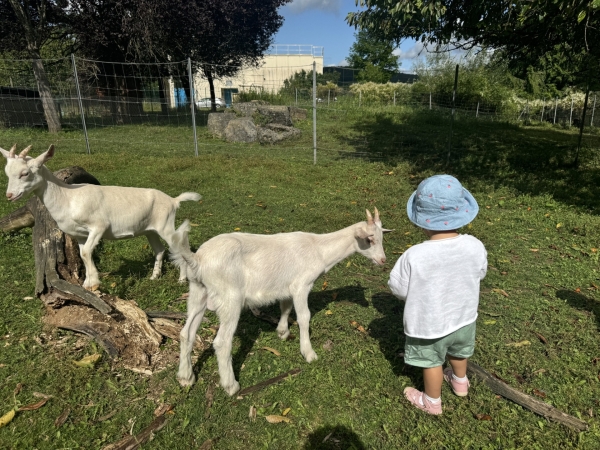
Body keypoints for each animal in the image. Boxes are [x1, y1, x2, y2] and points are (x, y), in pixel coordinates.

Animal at [0, 145, 204, 292]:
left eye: (25, 173)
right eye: (7, 173)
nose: (9, 195)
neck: (68, 197)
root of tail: (173, 200)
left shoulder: (98, 226)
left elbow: (86, 252)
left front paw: (94, 283)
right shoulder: (80, 235)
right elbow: (83, 254)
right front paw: (86, 284)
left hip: (166, 225)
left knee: (179, 249)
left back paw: (181, 280)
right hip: (150, 230)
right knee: (160, 250)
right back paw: (154, 277)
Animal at [171, 209, 392, 396]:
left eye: (382, 238)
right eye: (370, 239)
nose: (383, 260)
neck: (319, 249)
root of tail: (198, 260)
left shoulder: (287, 287)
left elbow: (285, 307)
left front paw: (283, 332)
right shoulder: (302, 285)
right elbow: (304, 317)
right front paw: (308, 353)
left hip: (197, 292)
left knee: (186, 333)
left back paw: (185, 377)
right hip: (230, 297)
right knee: (222, 341)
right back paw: (231, 385)